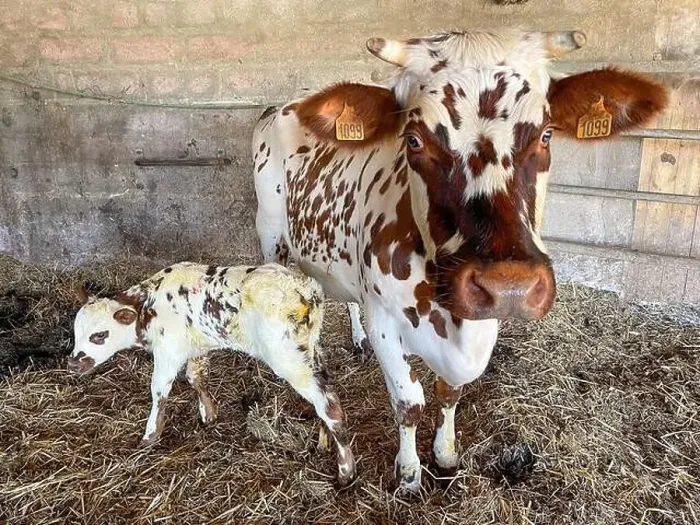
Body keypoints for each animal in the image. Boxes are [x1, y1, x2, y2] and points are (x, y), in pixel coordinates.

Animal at [67, 262, 356, 486]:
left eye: (99, 335)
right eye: (76, 332)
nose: (72, 363)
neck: (150, 305)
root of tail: (306, 290)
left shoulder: (169, 351)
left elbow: (159, 391)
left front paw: (150, 437)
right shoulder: (197, 346)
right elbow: (195, 377)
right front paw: (208, 414)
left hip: (288, 358)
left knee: (329, 404)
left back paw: (345, 473)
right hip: (311, 350)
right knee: (323, 391)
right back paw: (323, 442)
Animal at [252, 29, 668, 492]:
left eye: (546, 135)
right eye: (414, 139)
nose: (508, 286)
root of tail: (284, 104)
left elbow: (450, 392)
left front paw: (445, 454)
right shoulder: (385, 323)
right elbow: (409, 403)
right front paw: (409, 474)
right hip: (271, 235)